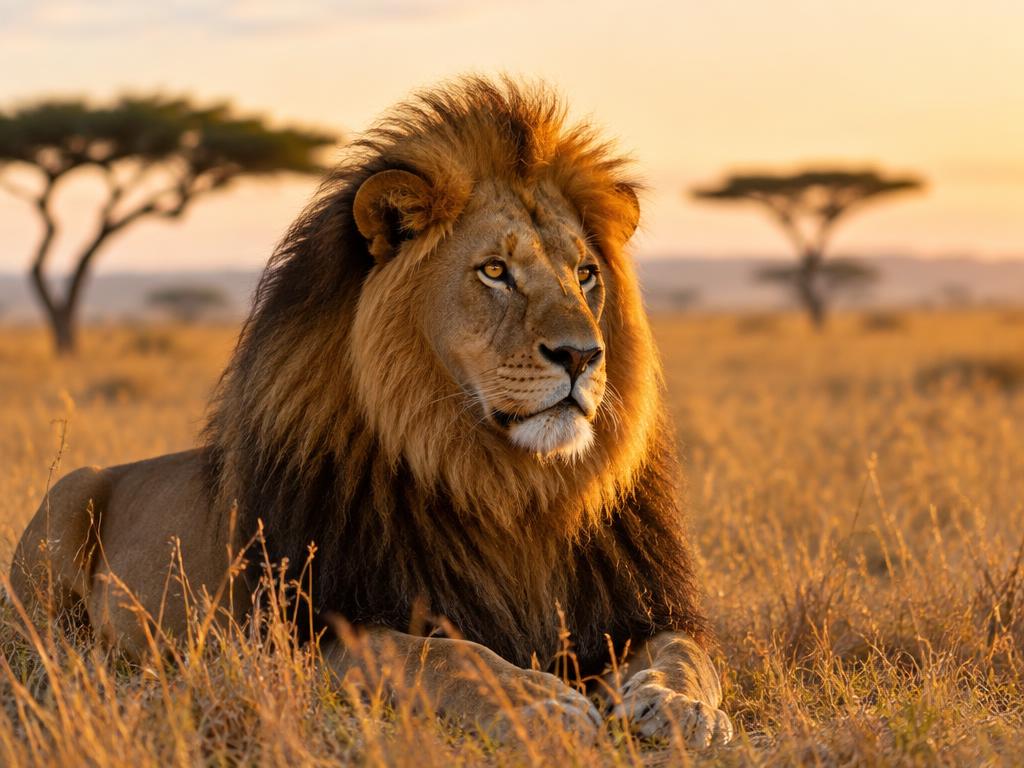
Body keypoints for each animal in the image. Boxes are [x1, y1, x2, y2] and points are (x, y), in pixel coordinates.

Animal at [10, 77, 732, 748]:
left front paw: (678, 706)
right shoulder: (312, 632)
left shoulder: (637, 609)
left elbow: (689, 655)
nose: (582, 355)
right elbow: (441, 654)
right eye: (494, 271)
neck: (508, 487)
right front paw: (536, 701)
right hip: (66, 499)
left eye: (585, 274)